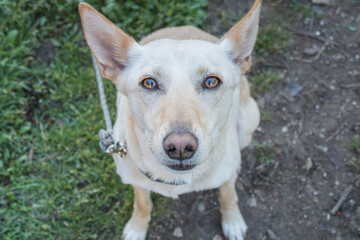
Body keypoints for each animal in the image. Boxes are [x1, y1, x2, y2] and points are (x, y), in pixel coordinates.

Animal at [79, 0, 260, 239]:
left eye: (211, 81)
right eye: (149, 83)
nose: (180, 146)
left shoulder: (226, 178)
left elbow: (228, 195)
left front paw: (232, 220)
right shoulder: (136, 180)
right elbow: (142, 203)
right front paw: (138, 227)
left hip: (249, 120)